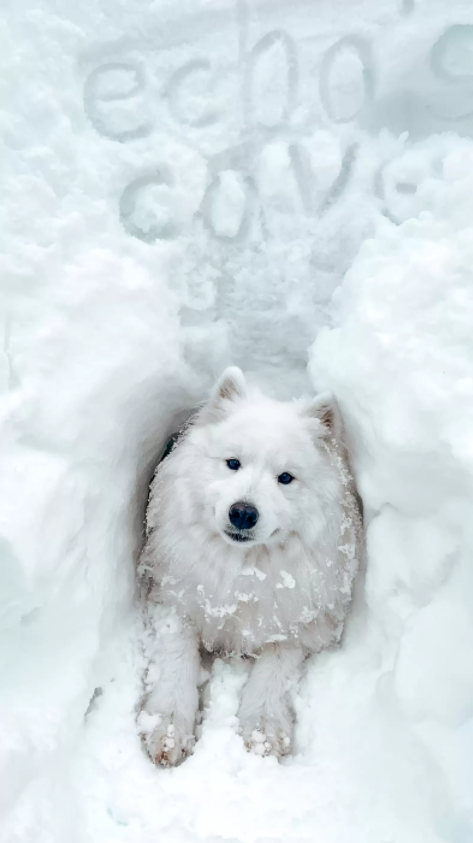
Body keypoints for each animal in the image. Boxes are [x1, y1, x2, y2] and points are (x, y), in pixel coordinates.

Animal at [136, 368, 362, 764]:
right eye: (233, 463)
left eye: (285, 477)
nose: (242, 512)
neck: (243, 569)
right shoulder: (173, 597)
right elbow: (178, 658)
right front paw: (168, 727)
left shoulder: (296, 622)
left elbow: (274, 671)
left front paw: (262, 731)